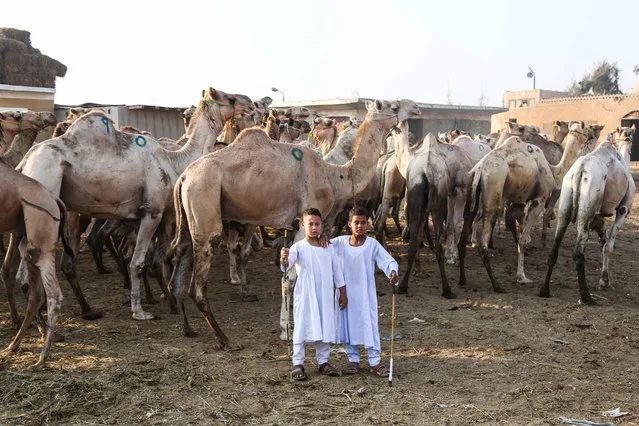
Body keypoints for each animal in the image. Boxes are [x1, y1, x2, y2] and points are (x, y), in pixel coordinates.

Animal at [0, 161, 72, 368]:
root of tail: (54, 199)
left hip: (41, 239)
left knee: (53, 295)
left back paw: (41, 358)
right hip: (28, 240)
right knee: (36, 294)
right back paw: (13, 346)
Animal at [15, 87, 255, 320]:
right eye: (231, 98)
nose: (250, 103)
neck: (174, 161)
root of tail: (25, 162)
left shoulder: (161, 216)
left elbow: (154, 260)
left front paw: (167, 301)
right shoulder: (152, 212)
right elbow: (138, 262)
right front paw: (140, 311)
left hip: (66, 213)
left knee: (56, 258)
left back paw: (85, 310)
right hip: (45, 192)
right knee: (31, 252)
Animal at [168, 97, 422, 342]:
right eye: (393, 105)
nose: (416, 108)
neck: (335, 176)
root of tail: (184, 177)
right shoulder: (304, 220)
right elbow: (290, 277)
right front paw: (287, 329)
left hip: (188, 216)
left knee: (180, 255)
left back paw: (188, 328)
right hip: (204, 202)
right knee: (198, 283)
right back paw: (222, 337)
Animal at [470, 123, 600, 290]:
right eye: (587, 130)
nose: (593, 134)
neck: (554, 170)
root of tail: (480, 168)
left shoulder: (519, 200)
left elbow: (516, 224)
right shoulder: (539, 198)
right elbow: (524, 239)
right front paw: (522, 276)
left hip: (479, 192)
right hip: (494, 189)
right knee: (484, 240)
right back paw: (496, 285)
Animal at [544, 126, 636, 302]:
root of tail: (580, 170)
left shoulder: (599, 216)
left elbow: (603, 242)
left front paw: (605, 280)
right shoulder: (625, 206)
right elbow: (608, 246)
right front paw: (604, 282)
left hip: (565, 203)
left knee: (554, 246)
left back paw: (544, 290)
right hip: (588, 205)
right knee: (578, 252)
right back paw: (586, 297)